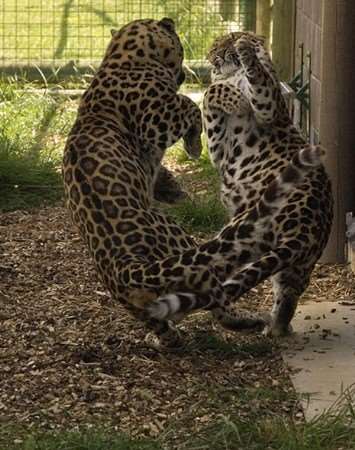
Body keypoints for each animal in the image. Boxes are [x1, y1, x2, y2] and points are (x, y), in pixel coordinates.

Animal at [203, 31, 334, 336]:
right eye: (214, 45)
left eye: (228, 38)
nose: (213, 54)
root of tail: (305, 229)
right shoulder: (217, 151)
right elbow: (211, 94)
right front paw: (231, 94)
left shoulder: (268, 106)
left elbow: (232, 86)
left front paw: (244, 55)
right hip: (294, 264)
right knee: (288, 295)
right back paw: (273, 327)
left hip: (240, 233)